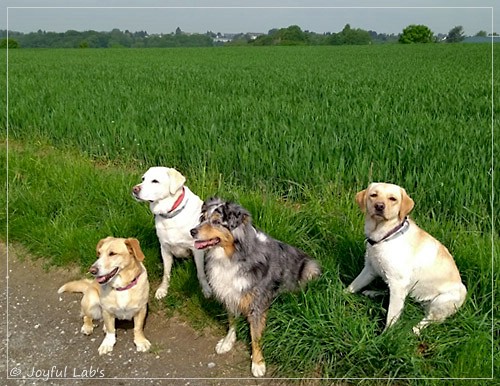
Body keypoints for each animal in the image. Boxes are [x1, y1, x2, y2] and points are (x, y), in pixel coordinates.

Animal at [188, 199, 320, 376]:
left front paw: (258, 363)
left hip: (309, 268)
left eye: (216, 222)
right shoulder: (231, 294)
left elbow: (255, 336)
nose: (192, 231)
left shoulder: (257, 304)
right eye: (202, 218)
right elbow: (232, 322)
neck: (231, 257)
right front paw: (227, 343)